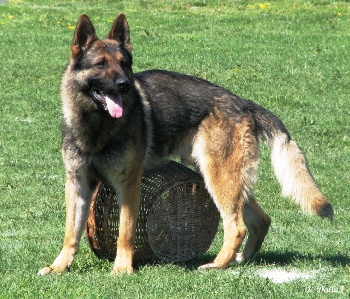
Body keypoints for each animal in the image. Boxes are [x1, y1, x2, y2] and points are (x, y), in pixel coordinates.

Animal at [38, 14, 334, 276]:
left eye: (124, 63)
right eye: (100, 64)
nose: (124, 85)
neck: (96, 125)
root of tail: (242, 103)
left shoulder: (128, 185)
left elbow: (125, 231)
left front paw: (122, 268)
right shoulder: (77, 184)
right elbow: (70, 233)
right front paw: (59, 266)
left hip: (218, 177)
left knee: (236, 226)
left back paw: (217, 264)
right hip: (225, 176)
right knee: (261, 220)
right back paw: (241, 259)